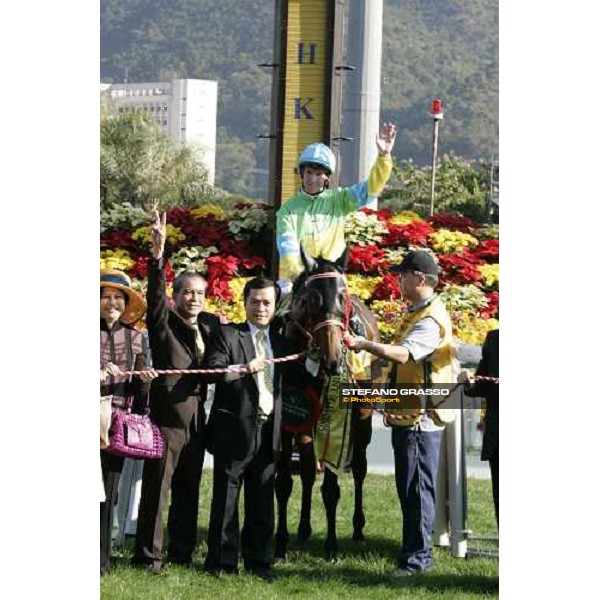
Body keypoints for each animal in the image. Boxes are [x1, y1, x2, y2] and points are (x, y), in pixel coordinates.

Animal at [274, 248, 380, 556]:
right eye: (310, 299)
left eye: (343, 296)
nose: (332, 358)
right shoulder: (289, 416)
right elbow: (285, 481)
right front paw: (281, 541)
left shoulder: (338, 419)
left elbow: (332, 487)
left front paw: (332, 543)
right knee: (309, 470)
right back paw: (303, 528)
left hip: (363, 416)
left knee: (359, 467)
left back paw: (357, 527)